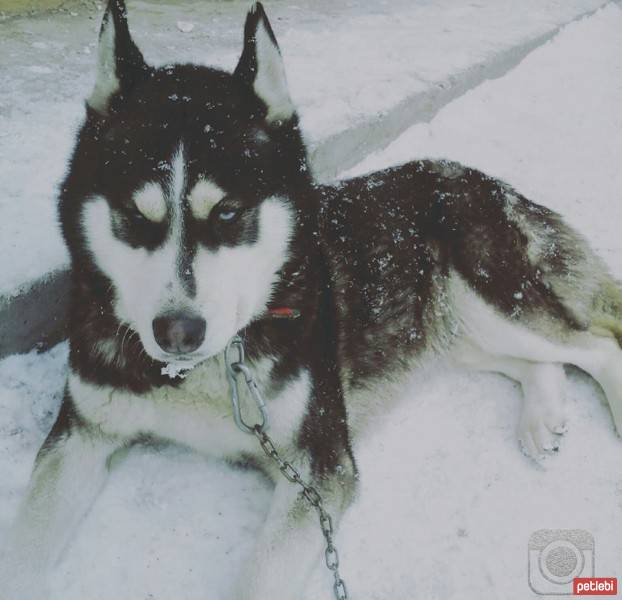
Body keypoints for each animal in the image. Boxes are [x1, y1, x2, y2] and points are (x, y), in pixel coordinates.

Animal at [1, 1, 622, 600]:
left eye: (228, 212)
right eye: (134, 216)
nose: (177, 333)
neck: (207, 370)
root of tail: (475, 174)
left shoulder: (320, 466)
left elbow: (262, 577)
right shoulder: (81, 435)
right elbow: (24, 548)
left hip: (485, 295)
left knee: (595, 344)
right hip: (443, 330)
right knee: (542, 358)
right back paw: (542, 416)